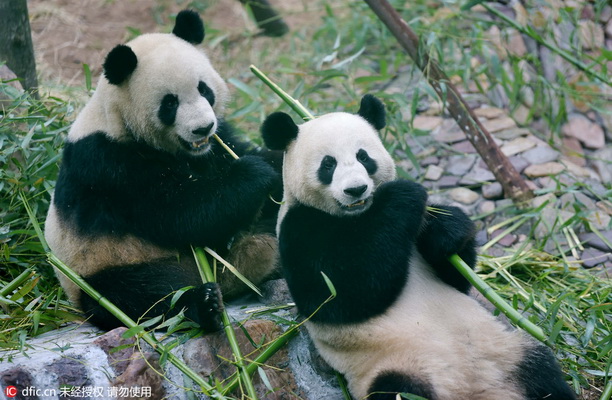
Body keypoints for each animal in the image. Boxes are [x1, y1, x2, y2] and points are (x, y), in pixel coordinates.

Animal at [44, 10, 280, 332]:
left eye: (204, 89)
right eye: (170, 103)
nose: (203, 128)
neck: (117, 118)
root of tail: (230, 276)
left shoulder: (216, 143)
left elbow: (240, 153)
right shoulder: (109, 164)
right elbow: (182, 213)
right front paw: (255, 173)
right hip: (100, 268)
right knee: (142, 295)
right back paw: (204, 304)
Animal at [260, 94, 576, 400]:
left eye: (363, 156)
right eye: (328, 164)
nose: (356, 189)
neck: (359, 216)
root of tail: (474, 390)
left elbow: (456, 274)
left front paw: (448, 228)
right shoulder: (301, 228)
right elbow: (339, 296)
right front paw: (401, 196)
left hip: (509, 351)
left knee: (544, 374)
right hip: (400, 367)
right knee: (397, 391)